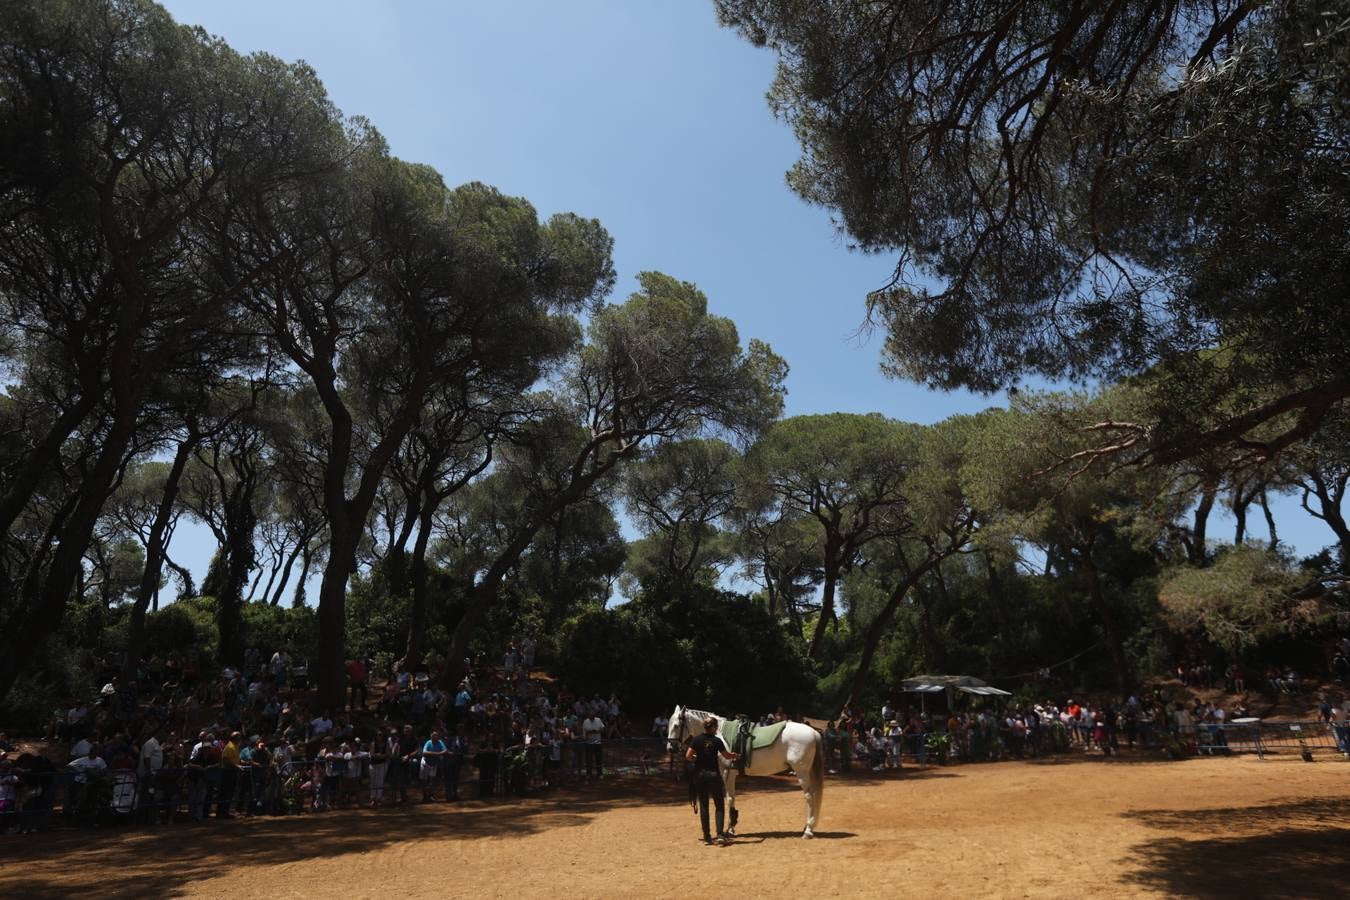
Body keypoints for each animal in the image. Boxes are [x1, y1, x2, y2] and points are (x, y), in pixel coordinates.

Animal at [666, 701, 820, 836]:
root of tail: (814, 732)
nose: (670, 748)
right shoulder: (731, 773)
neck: (718, 735)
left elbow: (729, 798)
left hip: (802, 771)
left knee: (809, 796)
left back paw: (808, 830)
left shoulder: (727, 772)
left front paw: (729, 829)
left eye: (676, 725)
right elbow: (732, 797)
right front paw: (732, 824)